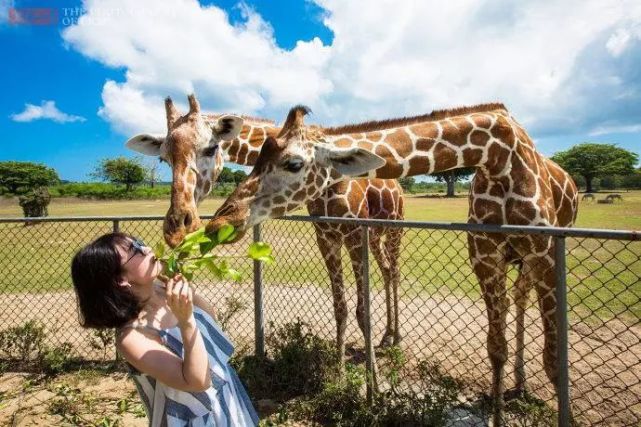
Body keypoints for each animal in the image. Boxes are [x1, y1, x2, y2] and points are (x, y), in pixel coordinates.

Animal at [125, 95, 404, 366]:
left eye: (210, 148)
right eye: (164, 158)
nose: (177, 227)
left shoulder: (355, 234)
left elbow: (362, 310)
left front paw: (368, 375)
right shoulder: (325, 236)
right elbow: (341, 307)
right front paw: (340, 369)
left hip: (394, 229)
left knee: (394, 272)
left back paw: (396, 338)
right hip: (375, 235)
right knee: (386, 269)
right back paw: (387, 336)